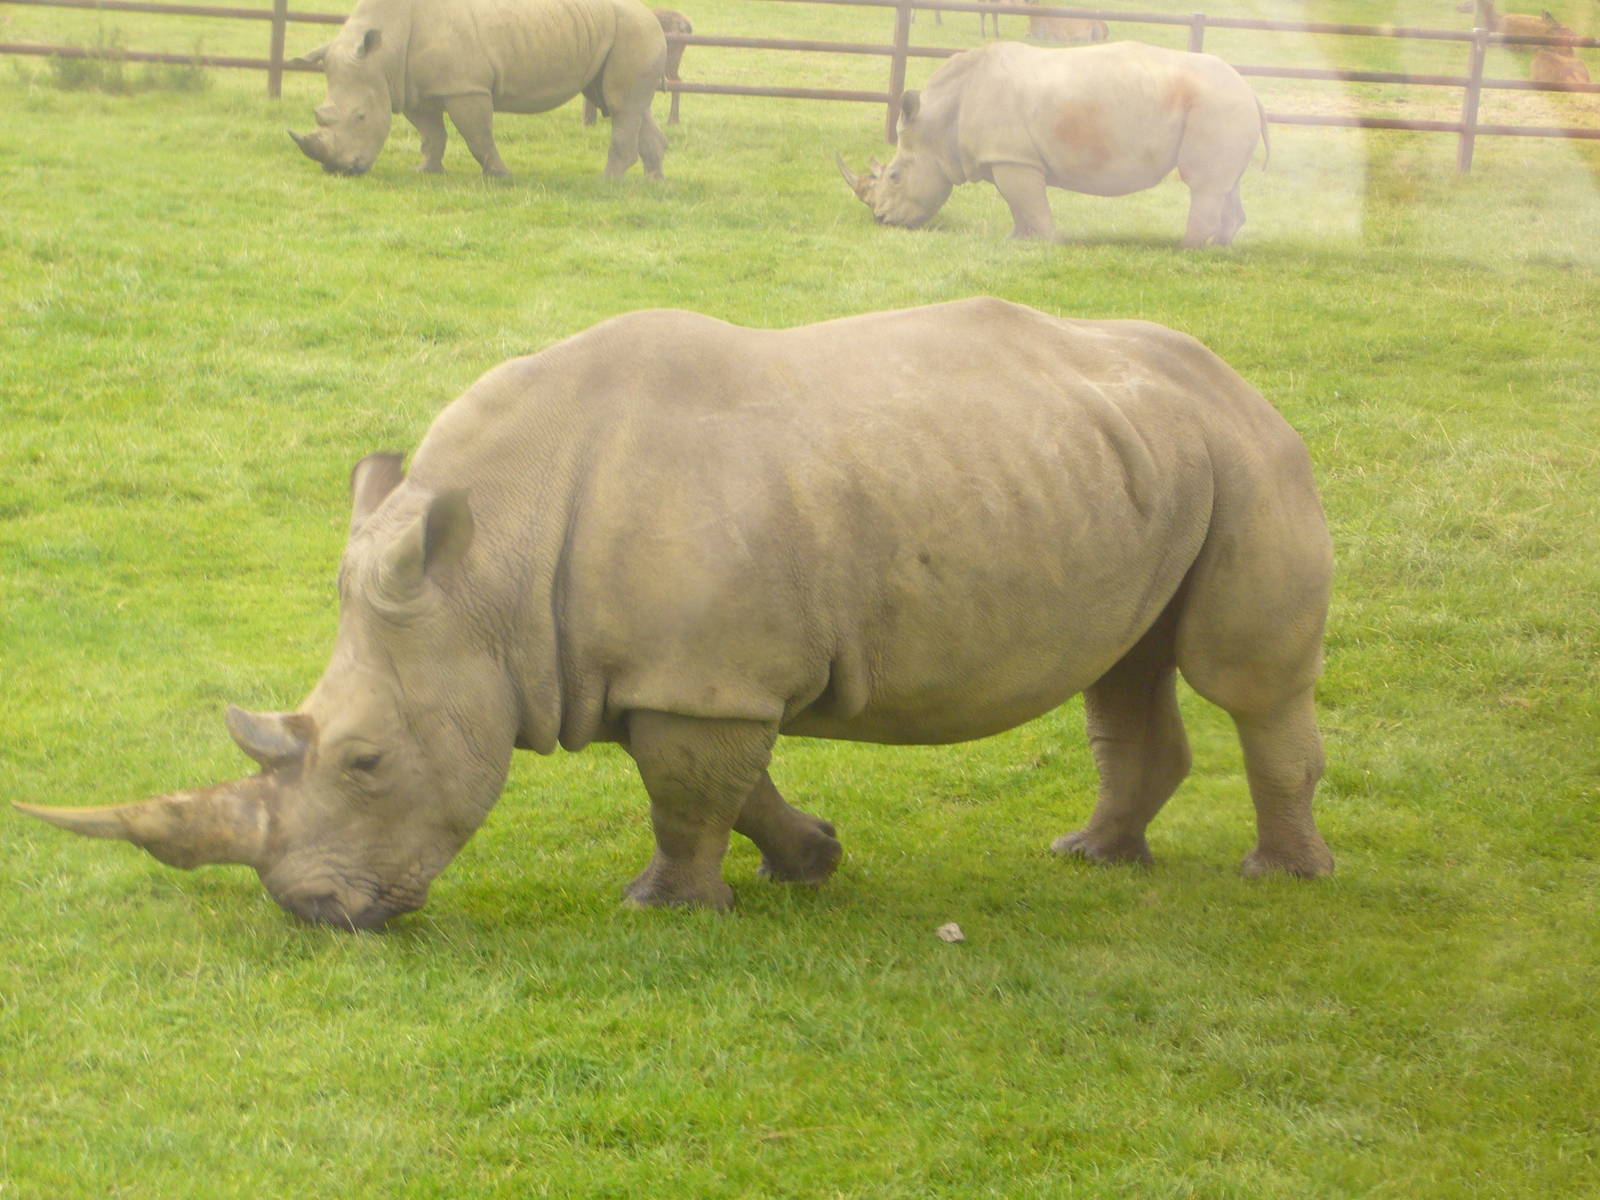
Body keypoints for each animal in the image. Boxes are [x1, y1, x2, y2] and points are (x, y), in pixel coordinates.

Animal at [16, 299, 1335, 930]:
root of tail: (1232, 373)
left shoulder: (704, 679)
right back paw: (1091, 858)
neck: (481, 578)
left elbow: (686, 794)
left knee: (1240, 677)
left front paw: (664, 912)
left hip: (1249, 453)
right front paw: (811, 863)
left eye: (367, 762)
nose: (311, 916)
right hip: (1135, 457)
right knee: (1125, 667)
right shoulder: (693, 676)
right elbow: (727, 784)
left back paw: (1279, 880)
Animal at [288, 0, 667, 179]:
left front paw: (499, 175)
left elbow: (477, 135)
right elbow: (431, 133)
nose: (339, 170)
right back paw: (653, 182)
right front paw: (426, 171)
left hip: (634, 29)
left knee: (620, 105)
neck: (384, 50)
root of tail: (651, 13)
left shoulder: (465, 87)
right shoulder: (412, 89)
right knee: (622, 102)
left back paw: (607, 181)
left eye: (361, 117)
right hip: (617, 31)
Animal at [838, 41, 1269, 247]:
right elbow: (1018, 205)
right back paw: (1219, 247)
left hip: (1216, 104)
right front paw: (1015, 241)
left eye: (894, 176)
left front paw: (1051, 244)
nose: (882, 221)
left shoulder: (1013, 158)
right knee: (1226, 184)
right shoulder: (1008, 158)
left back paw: (1185, 249)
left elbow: (1030, 204)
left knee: (1202, 183)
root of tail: (1250, 90)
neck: (938, 121)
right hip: (1224, 107)